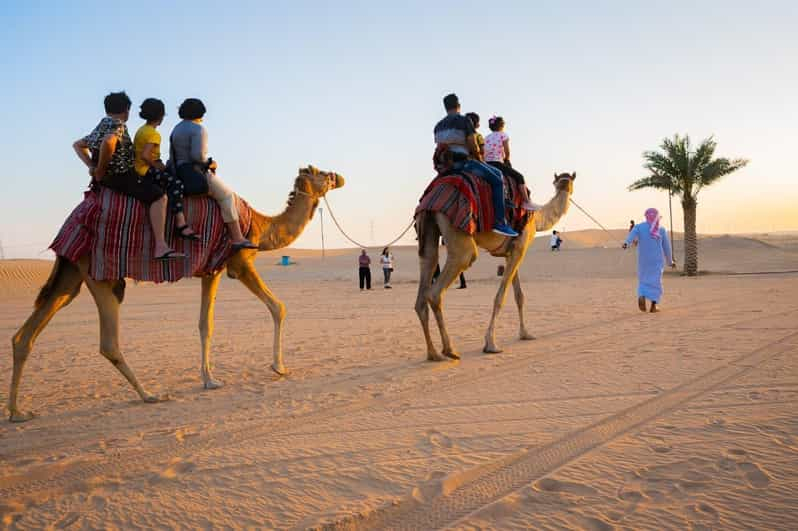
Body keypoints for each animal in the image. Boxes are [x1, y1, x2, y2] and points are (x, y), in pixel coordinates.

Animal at [7, 166, 344, 424]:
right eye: (321, 172)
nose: (340, 177)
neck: (261, 227)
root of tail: (72, 219)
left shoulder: (211, 270)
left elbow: (205, 324)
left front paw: (209, 379)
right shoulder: (238, 262)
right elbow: (278, 307)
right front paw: (279, 367)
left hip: (71, 273)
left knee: (26, 335)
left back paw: (17, 412)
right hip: (99, 273)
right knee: (108, 342)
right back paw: (149, 395)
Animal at [418, 175, 576, 362]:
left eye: (568, 180)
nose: (566, 186)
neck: (536, 218)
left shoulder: (511, 252)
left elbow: (519, 296)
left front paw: (525, 334)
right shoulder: (520, 248)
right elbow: (500, 297)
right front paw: (490, 344)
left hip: (428, 228)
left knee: (426, 272)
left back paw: (433, 353)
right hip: (457, 233)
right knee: (437, 289)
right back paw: (449, 350)